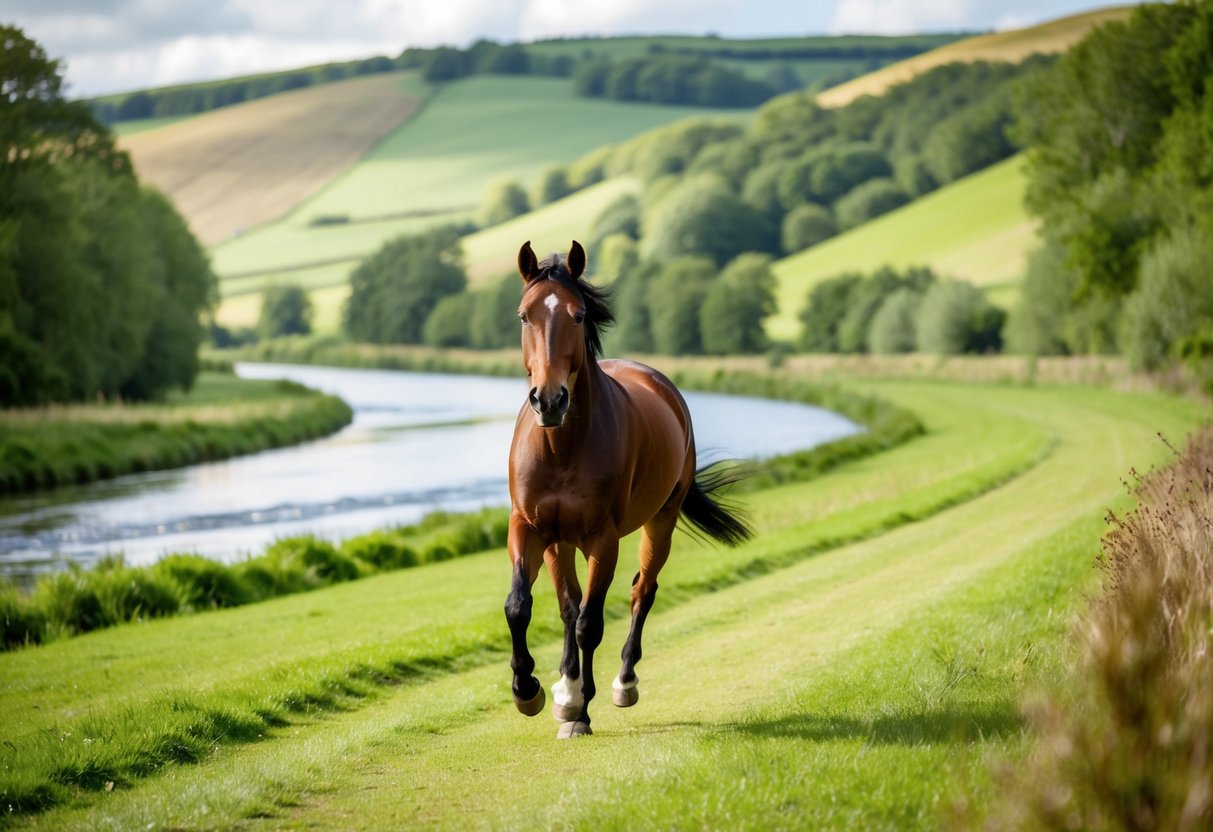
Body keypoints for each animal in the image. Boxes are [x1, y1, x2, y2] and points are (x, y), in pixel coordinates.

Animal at [505, 240, 752, 739]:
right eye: (524, 316)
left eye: (578, 315)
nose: (549, 400)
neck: (562, 447)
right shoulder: (528, 526)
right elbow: (523, 606)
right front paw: (530, 691)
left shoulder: (603, 539)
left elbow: (590, 624)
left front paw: (581, 711)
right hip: (559, 541)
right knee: (567, 604)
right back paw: (564, 688)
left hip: (661, 521)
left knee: (642, 591)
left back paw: (622, 683)